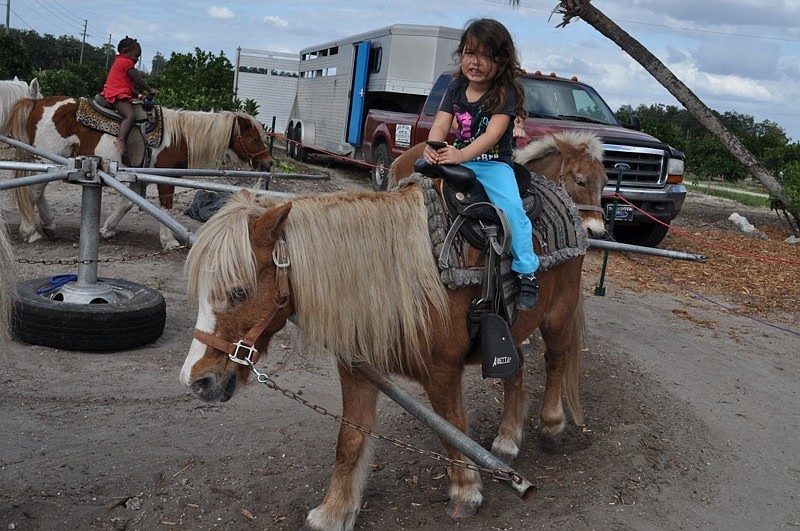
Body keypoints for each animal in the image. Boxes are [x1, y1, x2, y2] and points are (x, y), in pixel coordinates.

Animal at [2, 96, 273, 250]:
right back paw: (30, 230)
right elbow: (165, 207)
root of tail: (37, 102)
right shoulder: (166, 177)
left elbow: (127, 203)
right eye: (255, 139)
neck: (181, 137)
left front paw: (108, 229)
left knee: (37, 191)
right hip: (48, 157)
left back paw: (47, 225)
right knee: (33, 191)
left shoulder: (135, 175)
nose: (268, 163)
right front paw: (169, 240)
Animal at [180, 179, 587, 529]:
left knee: (556, 362)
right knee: (515, 372)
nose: (197, 380)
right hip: (507, 328)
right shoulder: (357, 370)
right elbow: (350, 439)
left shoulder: (442, 373)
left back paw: (551, 426)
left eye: (239, 291)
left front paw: (466, 492)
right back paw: (507, 440)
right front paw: (334, 511)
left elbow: (452, 428)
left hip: (558, 316)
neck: (397, 277)